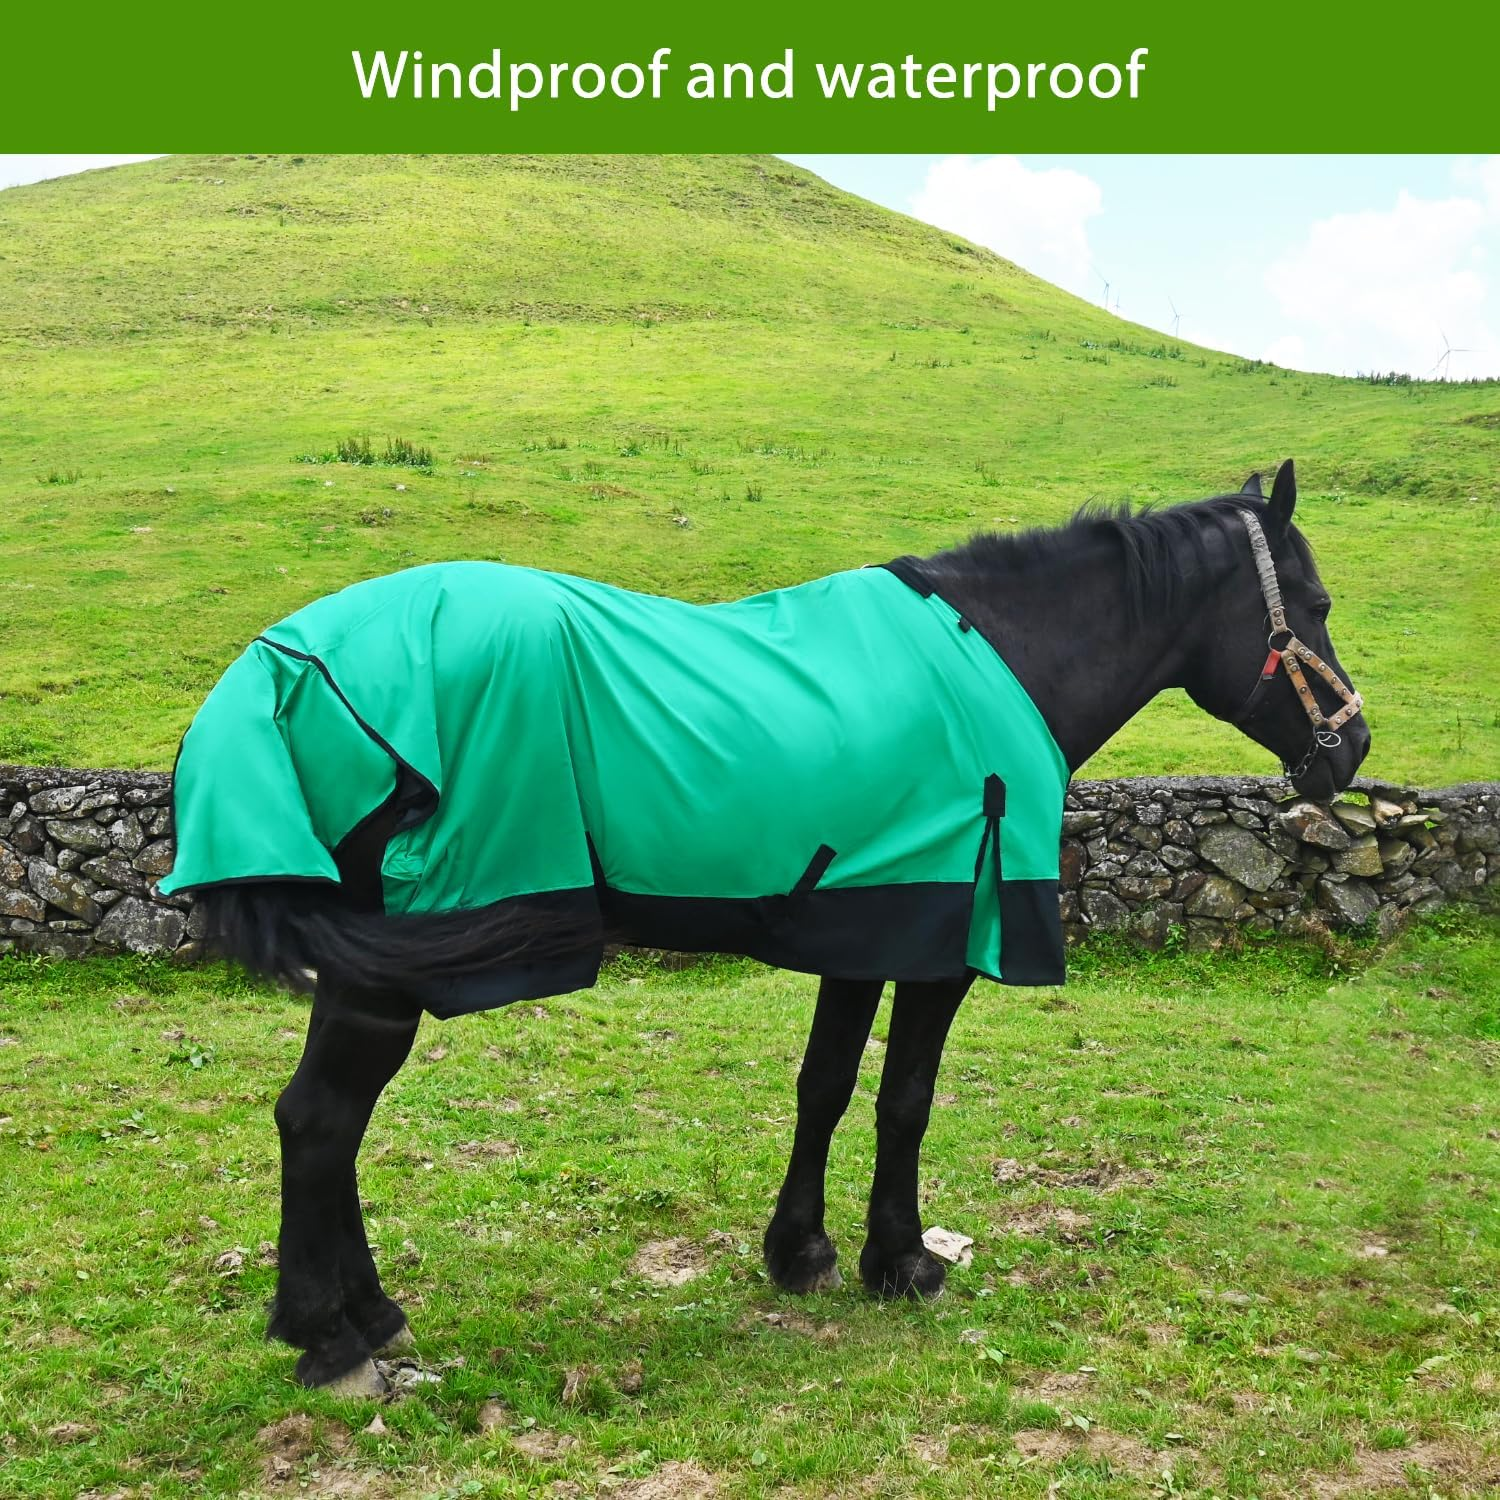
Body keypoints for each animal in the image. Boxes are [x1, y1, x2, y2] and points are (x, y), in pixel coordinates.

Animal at [173, 459, 1368, 1394]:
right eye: (1312, 604)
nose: (1350, 750)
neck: (1001, 658)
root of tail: (280, 663)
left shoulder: (874, 923)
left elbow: (827, 1085)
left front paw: (801, 1251)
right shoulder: (943, 941)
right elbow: (903, 1099)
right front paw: (901, 1261)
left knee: (319, 1125)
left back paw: (360, 1315)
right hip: (381, 979)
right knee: (321, 1123)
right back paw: (333, 1338)